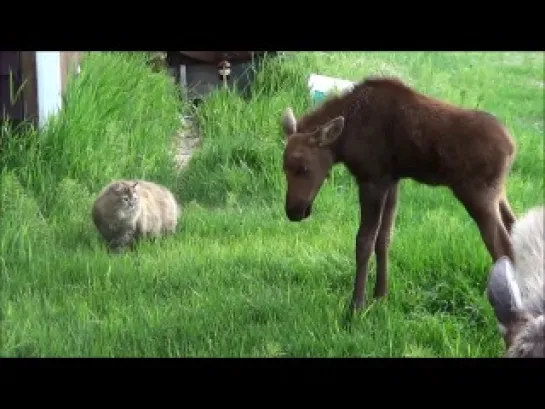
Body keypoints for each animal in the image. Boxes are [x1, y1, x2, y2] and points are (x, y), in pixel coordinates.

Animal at [278, 75, 516, 310]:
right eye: (284, 168)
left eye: (304, 168)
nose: (293, 211)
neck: (345, 141)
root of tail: (513, 148)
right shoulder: (392, 181)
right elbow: (384, 238)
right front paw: (380, 295)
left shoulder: (372, 180)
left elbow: (364, 242)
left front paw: (356, 305)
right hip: (498, 194)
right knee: (514, 229)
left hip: (478, 196)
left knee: (503, 248)